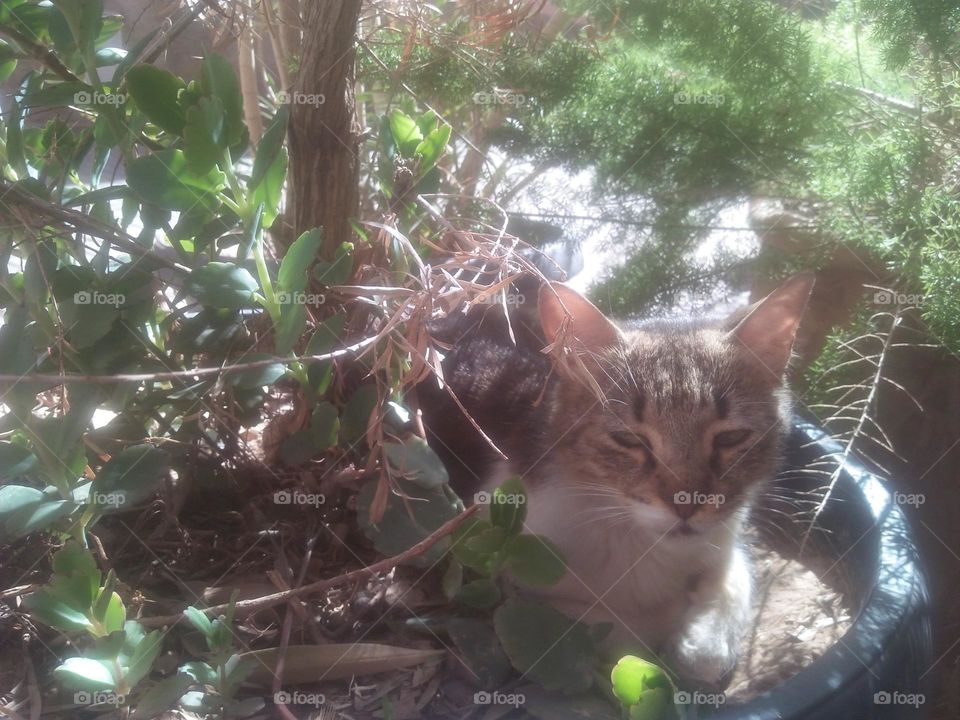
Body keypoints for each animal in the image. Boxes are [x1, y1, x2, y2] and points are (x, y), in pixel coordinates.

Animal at [416, 274, 812, 688]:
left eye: (730, 438)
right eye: (630, 440)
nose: (686, 504)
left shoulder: (725, 538)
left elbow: (732, 583)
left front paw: (701, 638)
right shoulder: (508, 578)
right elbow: (625, 629)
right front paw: (676, 623)